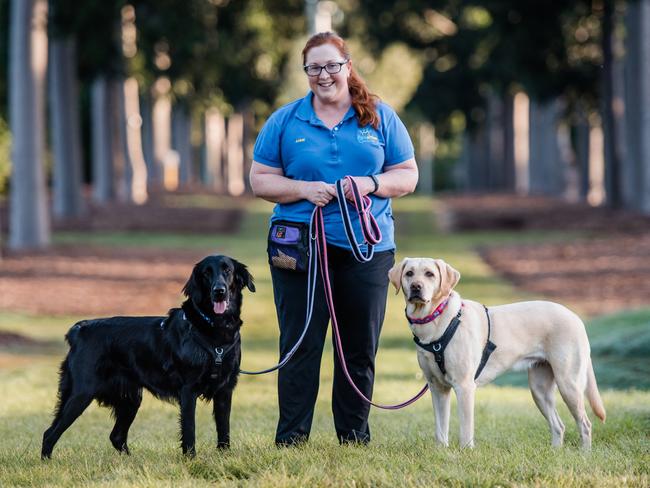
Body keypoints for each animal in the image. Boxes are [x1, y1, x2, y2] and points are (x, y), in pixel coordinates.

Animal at [40, 255, 253, 458]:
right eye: (206, 273)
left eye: (227, 270)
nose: (219, 291)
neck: (214, 328)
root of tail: (79, 330)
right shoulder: (188, 390)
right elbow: (190, 430)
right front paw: (191, 459)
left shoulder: (225, 390)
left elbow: (224, 428)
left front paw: (224, 456)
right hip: (81, 393)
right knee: (49, 433)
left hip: (131, 399)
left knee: (116, 436)